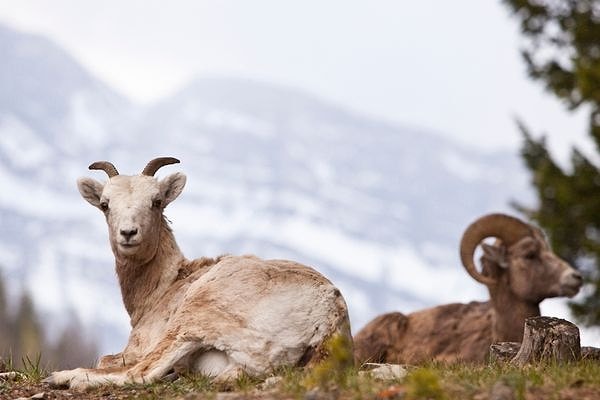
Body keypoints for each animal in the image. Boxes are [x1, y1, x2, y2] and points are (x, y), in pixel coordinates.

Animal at [48, 158, 356, 390]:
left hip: (193, 318)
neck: (164, 286)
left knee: (141, 373)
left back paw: (67, 378)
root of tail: (328, 310)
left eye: (156, 201)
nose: (128, 233)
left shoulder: (138, 348)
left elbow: (108, 360)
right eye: (105, 204)